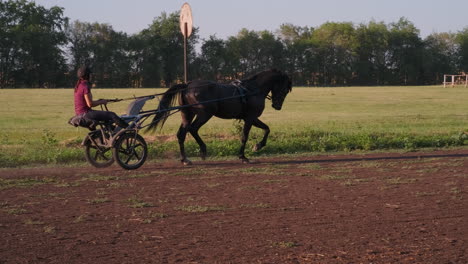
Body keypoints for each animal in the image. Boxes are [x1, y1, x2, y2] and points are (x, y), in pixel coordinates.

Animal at [148, 69, 290, 164]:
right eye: (285, 89)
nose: (277, 106)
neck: (252, 90)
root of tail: (187, 85)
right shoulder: (250, 118)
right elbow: (245, 136)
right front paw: (243, 156)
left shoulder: (251, 118)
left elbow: (267, 129)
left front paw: (258, 145)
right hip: (205, 114)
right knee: (193, 129)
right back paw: (203, 150)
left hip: (187, 114)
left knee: (181, 134)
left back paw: (185, 159)